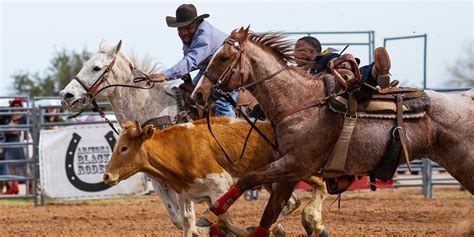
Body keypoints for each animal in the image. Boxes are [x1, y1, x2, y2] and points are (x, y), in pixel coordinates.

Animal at [193, 27, 474, 235]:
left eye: (223, 57)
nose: (199, 94)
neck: (299, 102)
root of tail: (466, 100)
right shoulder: (290, 172)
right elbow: (268, 214)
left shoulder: (294, 164)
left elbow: (247, 180)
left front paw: (209, 216)